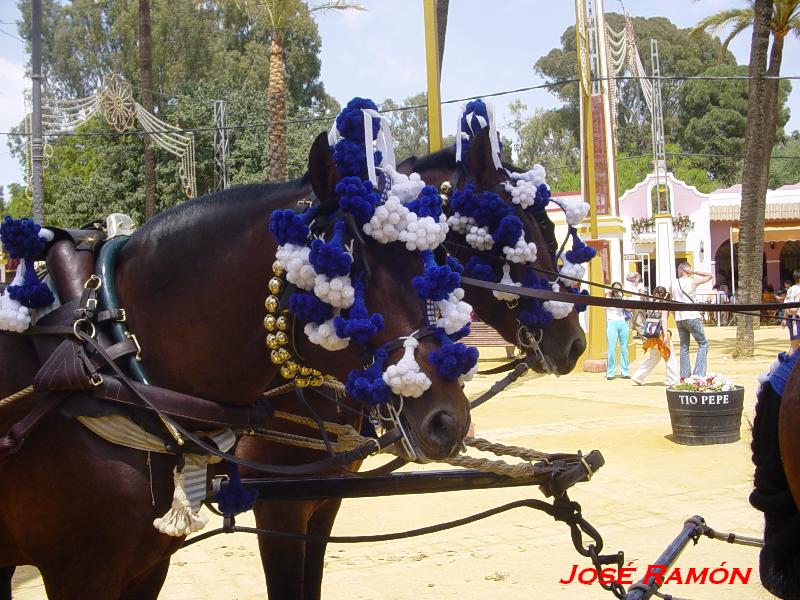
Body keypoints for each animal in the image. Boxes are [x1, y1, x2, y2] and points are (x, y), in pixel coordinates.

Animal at [0, 129, 472, 596]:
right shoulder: (85, 571)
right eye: (354, 270)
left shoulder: (157, 561)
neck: (113, 353)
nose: (448, 420)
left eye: (432, 259)